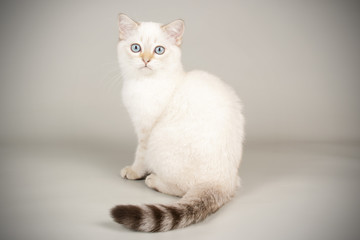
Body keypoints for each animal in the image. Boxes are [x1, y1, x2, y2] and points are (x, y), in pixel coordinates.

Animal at [109, 13, 245, 232]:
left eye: (159, 50)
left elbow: (140, 155)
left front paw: (135, 172)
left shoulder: (146, 131)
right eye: (136, 47)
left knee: (183, 189)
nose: (146, 60)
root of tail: (221, 183)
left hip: (159, 142)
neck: (145, 83)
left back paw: (153, 180)